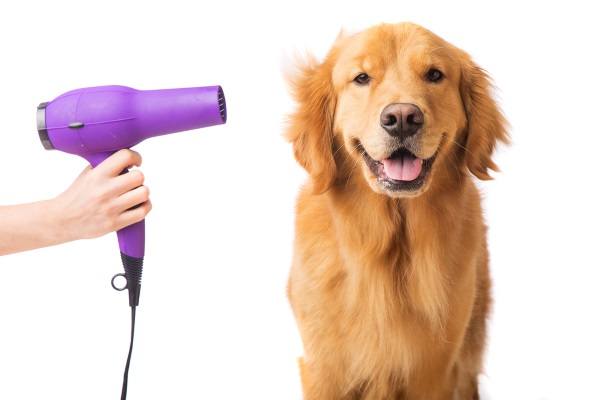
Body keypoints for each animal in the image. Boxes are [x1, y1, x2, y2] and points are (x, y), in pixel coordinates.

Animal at [284, 22, 506, 400]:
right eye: (361, 78)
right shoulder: (323, 370)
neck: (391, 246)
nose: (402, 118)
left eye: (435, 75)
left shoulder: (434, 374)